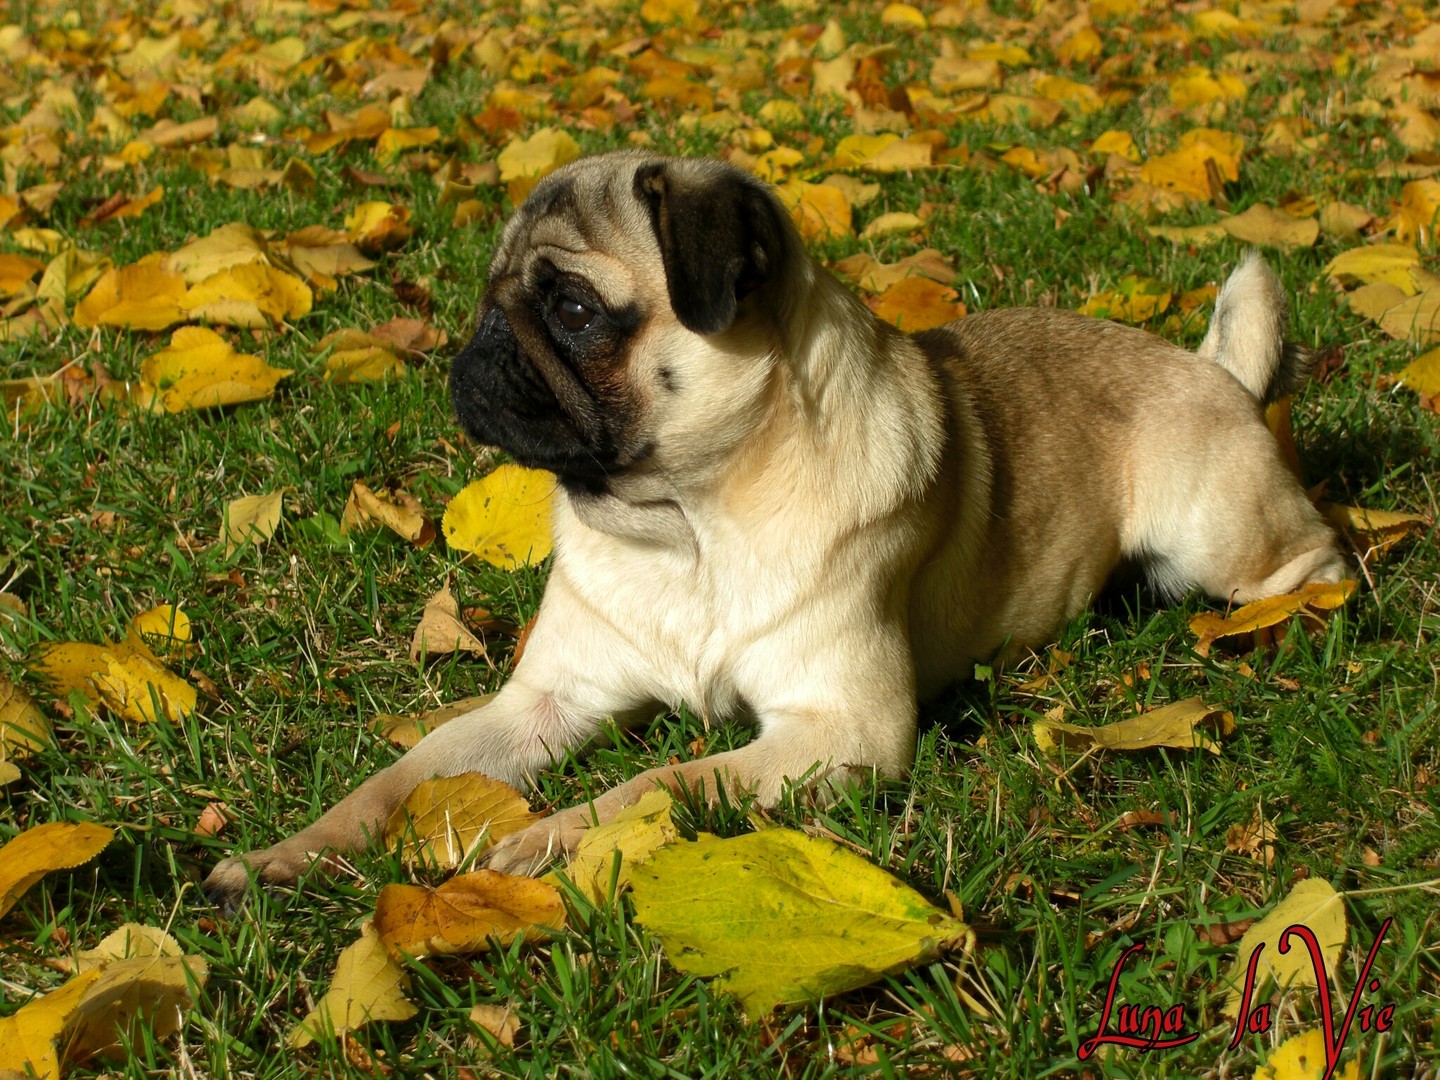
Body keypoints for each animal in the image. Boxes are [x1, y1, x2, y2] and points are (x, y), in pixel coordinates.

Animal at [205, 150, 1347, 904]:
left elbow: (656, 782)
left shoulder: (837, 730)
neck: (688, 526)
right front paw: (285, 855)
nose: (478, 351)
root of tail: (1208, 368)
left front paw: (551, 841)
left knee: (1310, 552)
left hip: (1216, 535)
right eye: (491, 301)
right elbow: (398, 781)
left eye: (573, 312)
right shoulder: (542, 706)